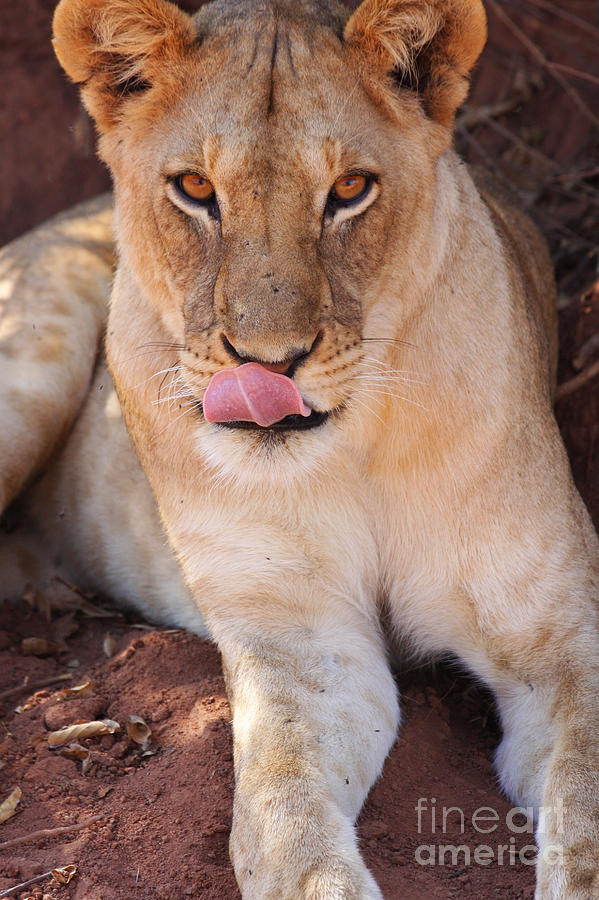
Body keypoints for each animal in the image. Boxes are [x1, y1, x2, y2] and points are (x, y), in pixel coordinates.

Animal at [0, 0, 596, 892]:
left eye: (349, 189)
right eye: (195, 189)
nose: (268, 364)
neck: (355, 453)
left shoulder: (559, 639)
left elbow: (585, 819)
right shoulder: (301, 648)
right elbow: (286, 821)